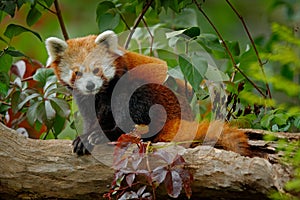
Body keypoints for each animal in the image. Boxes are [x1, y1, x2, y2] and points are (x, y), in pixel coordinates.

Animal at [45, 30, 250, 156]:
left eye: (96, 70)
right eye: (77, 72)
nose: (89, 85)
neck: (99, 93)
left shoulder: (119, 83)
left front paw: (93, 135)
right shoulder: (85, 100)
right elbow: (91, 116)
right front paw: (86, 135)